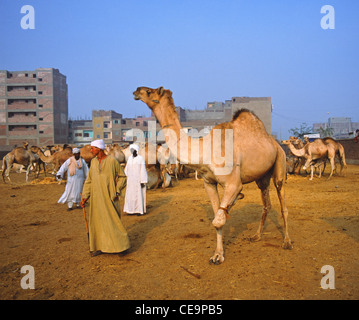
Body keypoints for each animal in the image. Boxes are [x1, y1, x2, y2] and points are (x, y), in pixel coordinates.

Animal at [134, 86, 294, 264]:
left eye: (149, 91)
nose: (137, 91)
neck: (205, 150)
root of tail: (274, 142)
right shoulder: (209, 183)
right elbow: (218, 218)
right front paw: (218, 254)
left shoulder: (233, 183)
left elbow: (218, 220)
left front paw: (218, 254)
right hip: (262, 177)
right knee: (266, 204)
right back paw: (256, 235)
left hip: (280, 162)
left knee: (283, 203)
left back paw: (287, 241)